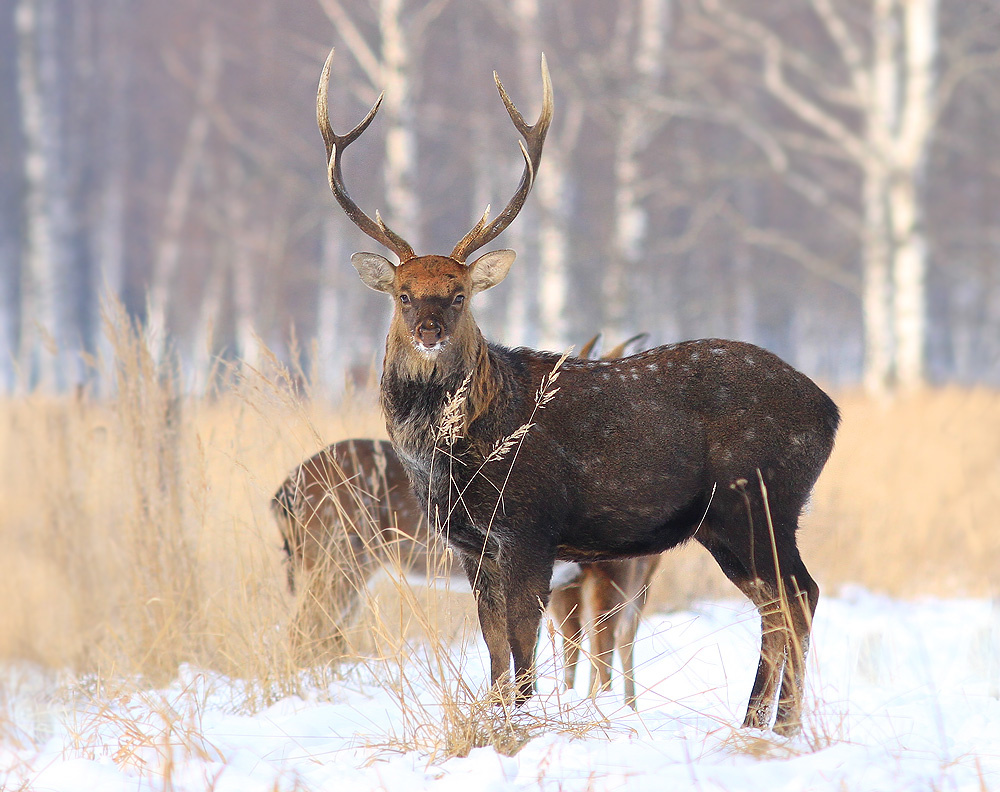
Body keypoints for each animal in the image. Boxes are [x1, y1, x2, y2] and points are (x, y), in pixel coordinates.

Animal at [317, 48, 840, 735]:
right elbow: (494, 648)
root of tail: (830, 410)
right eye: (404, 294)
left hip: (759, 497)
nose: (429, 330)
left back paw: (773, 726)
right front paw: (499, 720)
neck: (462, 450)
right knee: (782, 602)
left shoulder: (529, 527)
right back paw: (763, 724)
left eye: (459, 294)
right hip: (730, 520)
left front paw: (519, 724)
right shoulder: (472, 545)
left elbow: (521, 647)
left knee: (797, 596)